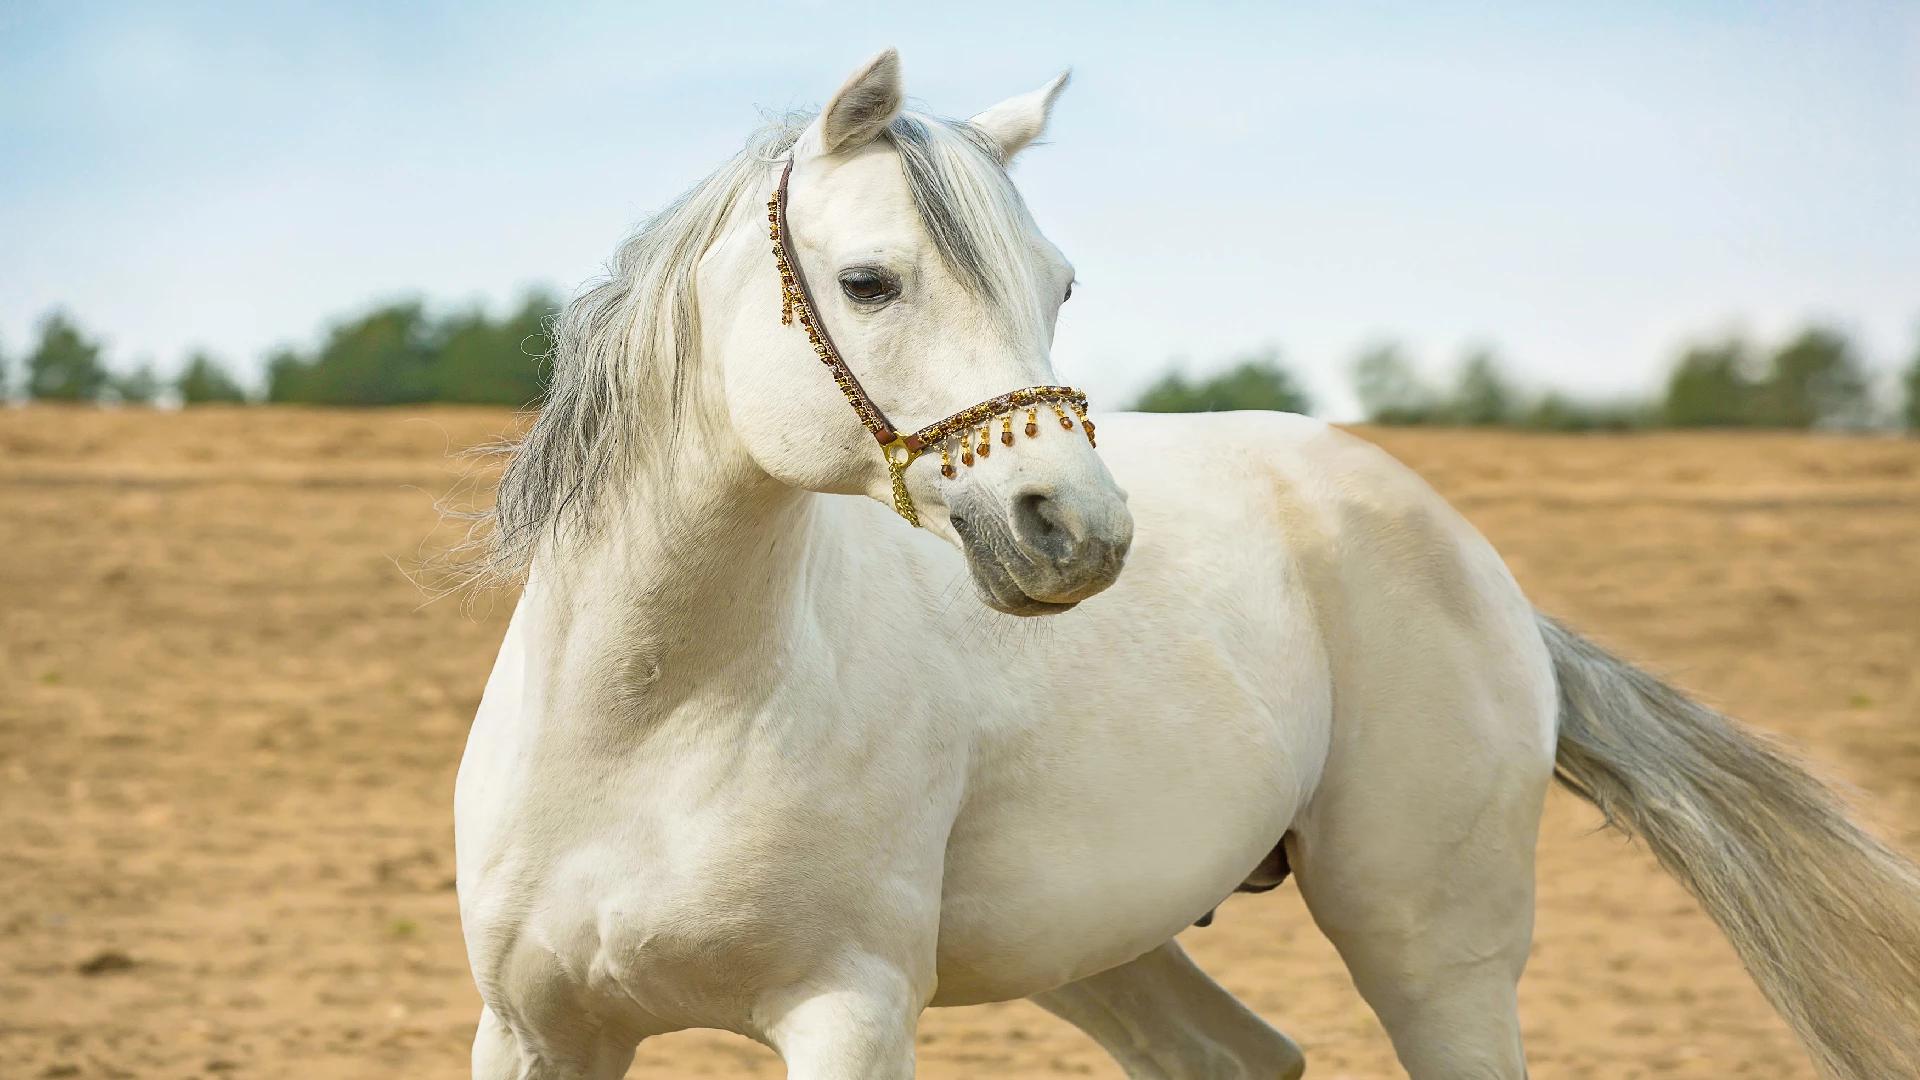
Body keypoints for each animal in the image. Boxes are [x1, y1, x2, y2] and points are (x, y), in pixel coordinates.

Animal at [456, 50, 1920, 1076]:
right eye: (869, 281)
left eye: (1058, 284)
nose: (1075, 529)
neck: (652, 715)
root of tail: (1473, 559)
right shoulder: (535, 1036)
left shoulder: (846, 1013)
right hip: (1100, 946)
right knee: (1240, 1057)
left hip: (1432, 948)